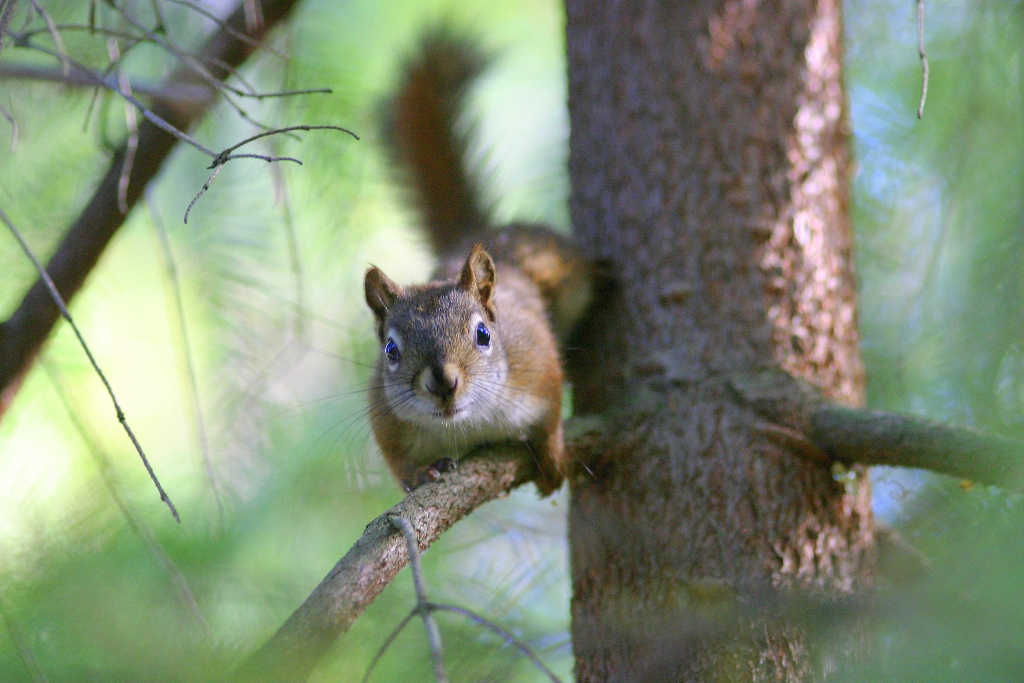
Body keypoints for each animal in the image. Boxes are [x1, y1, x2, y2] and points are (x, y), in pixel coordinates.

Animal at [366, 28, 593, 497]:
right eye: (391, 350)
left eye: (484, 335)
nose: (443, 383)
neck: (464, 424)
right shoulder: (384, 417)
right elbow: (399, 464)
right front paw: (419, 474)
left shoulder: (536, 365)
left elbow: (550, 420)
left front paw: (551, 455)